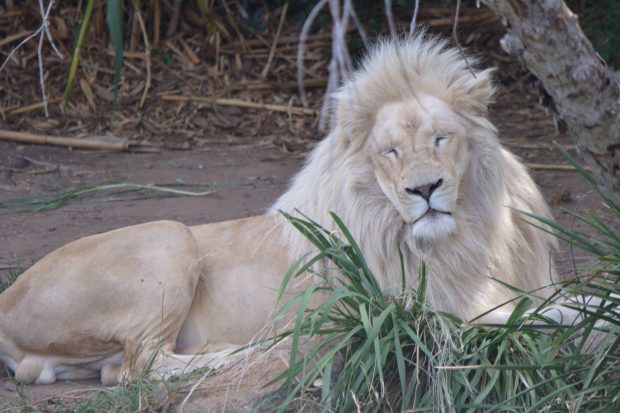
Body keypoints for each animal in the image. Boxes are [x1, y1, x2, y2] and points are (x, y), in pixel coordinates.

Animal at [0, 34, 556, 384]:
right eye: (391, 152)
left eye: (442, 139)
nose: (425, 190)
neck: (468, 232)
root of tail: (6, 300)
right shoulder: (433, 313)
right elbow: (547, 318)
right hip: (170, 232)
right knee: (138, 368)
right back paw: (250, 350)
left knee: (116, 368)